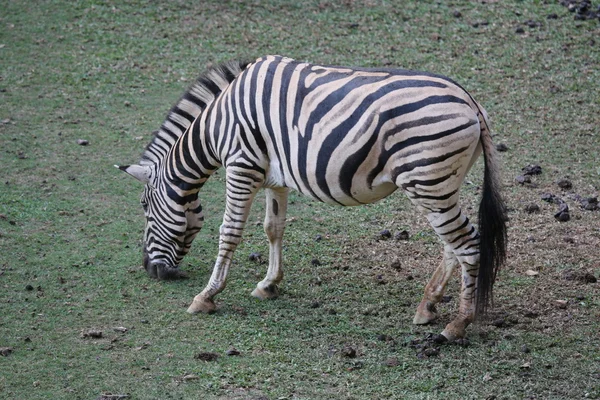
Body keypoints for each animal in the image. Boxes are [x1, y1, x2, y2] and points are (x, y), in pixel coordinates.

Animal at [116, 54, 506, 340]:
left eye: (145, 209)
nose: (151, 271)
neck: (215, 125)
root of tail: (470, 101)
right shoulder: (274, 177)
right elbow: (273, 228)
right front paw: (268, 285)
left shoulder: (241, 166)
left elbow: (230, 233)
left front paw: (207, 296)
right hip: (439, 183)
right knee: (452, 245)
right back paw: (428, 306)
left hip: (427, 180)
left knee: (468, 245)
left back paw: (458, 324)